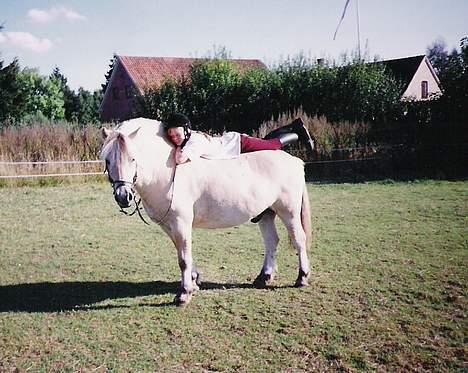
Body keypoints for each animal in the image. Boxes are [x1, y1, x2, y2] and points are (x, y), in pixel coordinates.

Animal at [100, 117, 308, 304]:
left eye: (133, 158)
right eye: (108, 160)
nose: (123, 196)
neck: (169, 172)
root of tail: (295, 161)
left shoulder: (181, 223)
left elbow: (183, 258)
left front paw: (184, 294)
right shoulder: (169, 225)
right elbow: (182, 252)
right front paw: (194, 281)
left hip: (288, 212)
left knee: (299, 239)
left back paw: (302, 277)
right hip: (265, 214)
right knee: (271, 241)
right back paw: (264, 277)